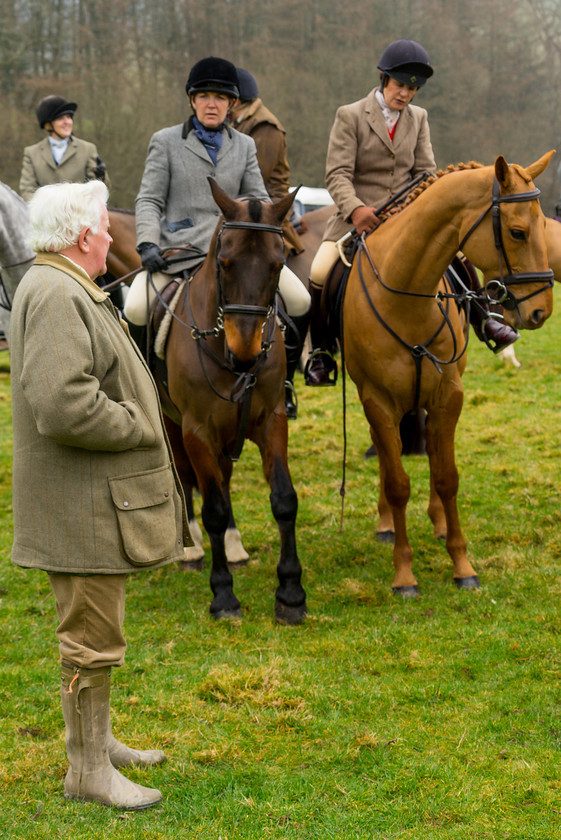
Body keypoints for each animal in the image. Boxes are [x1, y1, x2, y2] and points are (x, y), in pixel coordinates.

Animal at [153, 179, 306, 624]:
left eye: (278, 264)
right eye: (224, 262)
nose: (245, 354)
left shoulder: (271, 420)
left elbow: (284, 499)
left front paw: (291, 592)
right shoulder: (197, 430)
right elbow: (214, 510)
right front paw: (223, 596)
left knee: (222, 478)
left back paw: (235, 547)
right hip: (174, 424)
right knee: (188, 480)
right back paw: (190, 548)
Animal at [344, 153, 552, 596]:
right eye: (517, 232)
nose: (542, 311)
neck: (407, 294)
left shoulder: (448, 396)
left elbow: (447, 476)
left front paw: (462, 564)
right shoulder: (377, 401)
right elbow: (397, 482)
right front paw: (404, 574)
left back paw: (438, 522)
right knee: (387, 459)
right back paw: (386, 524)